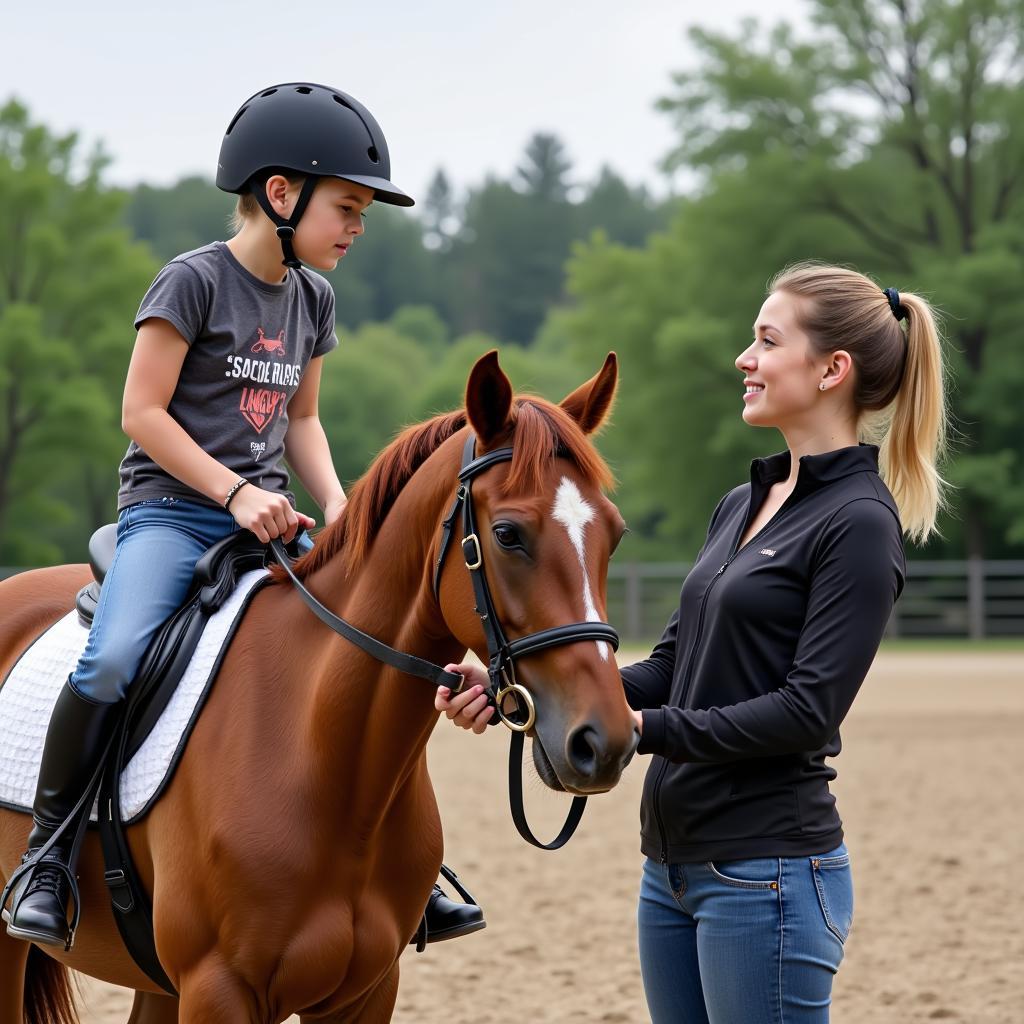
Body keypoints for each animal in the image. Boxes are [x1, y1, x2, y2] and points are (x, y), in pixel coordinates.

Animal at [0, 352, 634, 1024]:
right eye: (510, 534)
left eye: (614, 534)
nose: (605, 741)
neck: (328, 763)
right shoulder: (218, 988)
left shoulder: (366, 991)